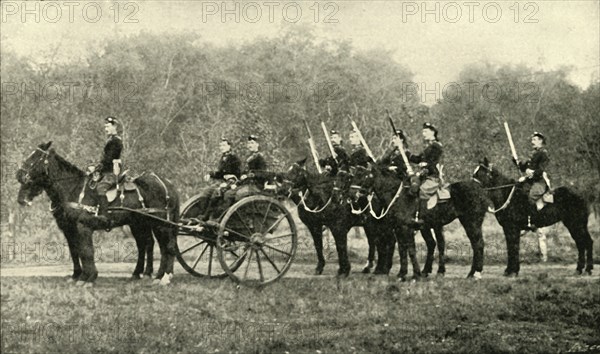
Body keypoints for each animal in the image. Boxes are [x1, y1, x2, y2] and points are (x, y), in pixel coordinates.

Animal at [15, 141, 180, 284]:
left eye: (35, 157)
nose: (19, 175)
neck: (73, 188)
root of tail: (167, 183)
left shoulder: (83, 227)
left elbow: (87, 251)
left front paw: (88, 278)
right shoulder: (69, 229)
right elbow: (75, 251)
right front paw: (78, 276)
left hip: (161, 223)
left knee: (168, 246)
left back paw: (165, 277)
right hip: (143, 224)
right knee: (152, 245)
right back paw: (151, 275)